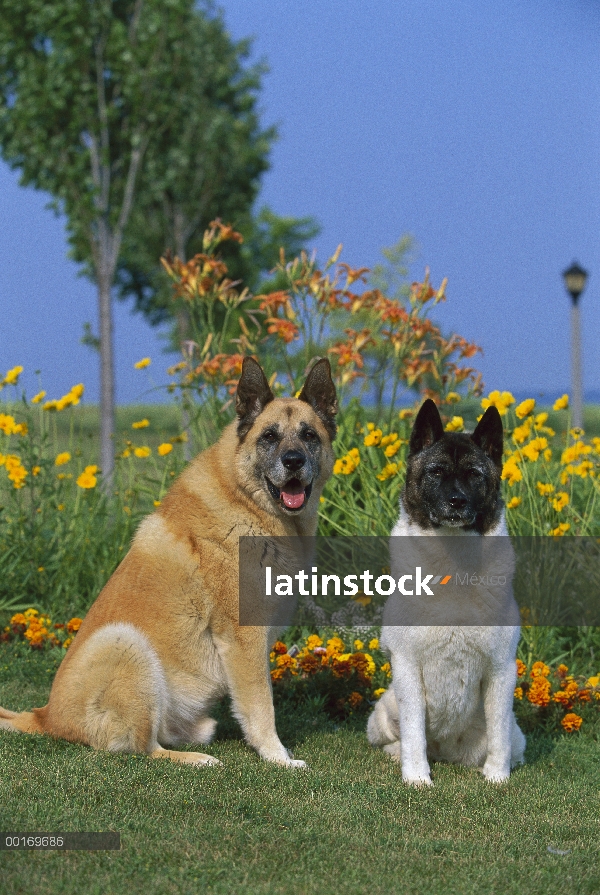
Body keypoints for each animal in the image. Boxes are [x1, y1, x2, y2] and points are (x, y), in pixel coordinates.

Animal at [0, 356, 338, 768]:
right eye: (269, 437)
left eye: (309, 436)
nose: (293, 462)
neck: (247, 501)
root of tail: (44, 717)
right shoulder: (244, 641)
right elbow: (261, 708)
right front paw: (278, 758)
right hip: (124, 643)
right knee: (147, 750)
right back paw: (198, 760)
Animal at [366, 400, 524, 784]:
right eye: (436, 472)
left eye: (474, 475)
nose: (456, 501)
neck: (453, 564)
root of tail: (447, 752)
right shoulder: (407, 667)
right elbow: (413, 732)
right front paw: (416, 777)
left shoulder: (501, 669)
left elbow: (498, 734)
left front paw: (497, 777)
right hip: (384, 709)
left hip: (517, 733)